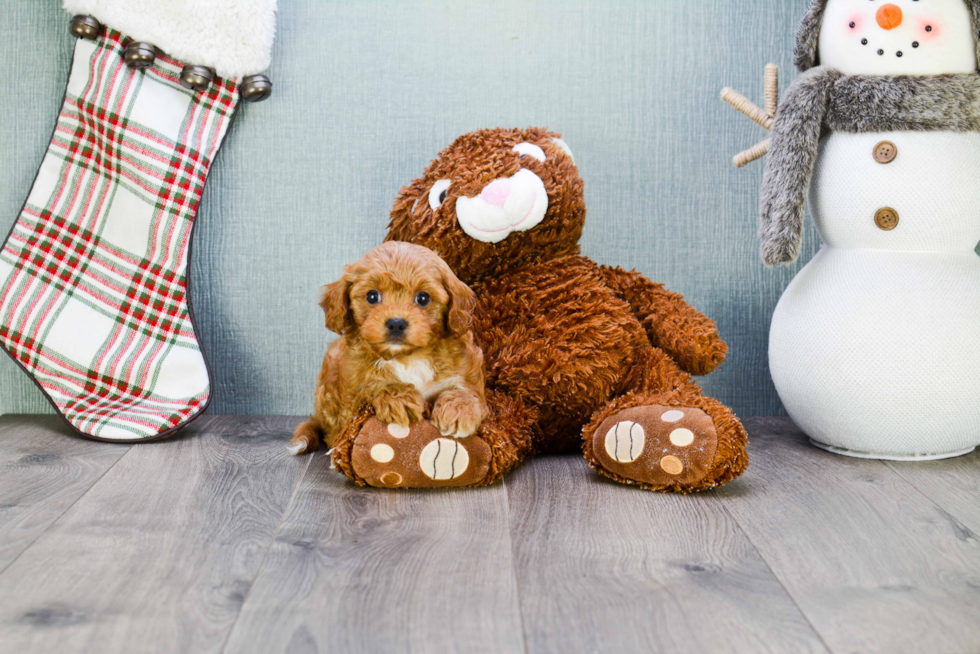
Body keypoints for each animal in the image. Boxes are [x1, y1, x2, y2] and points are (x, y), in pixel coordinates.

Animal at [290, 242, 490, 456]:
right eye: (372, 296)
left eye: (423, 298)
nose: (396, 323)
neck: (407, 357)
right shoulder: (350, 399)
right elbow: (370, 386)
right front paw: (398, 397)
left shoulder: (466, 373)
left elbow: (469, 392)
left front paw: (459, 410)